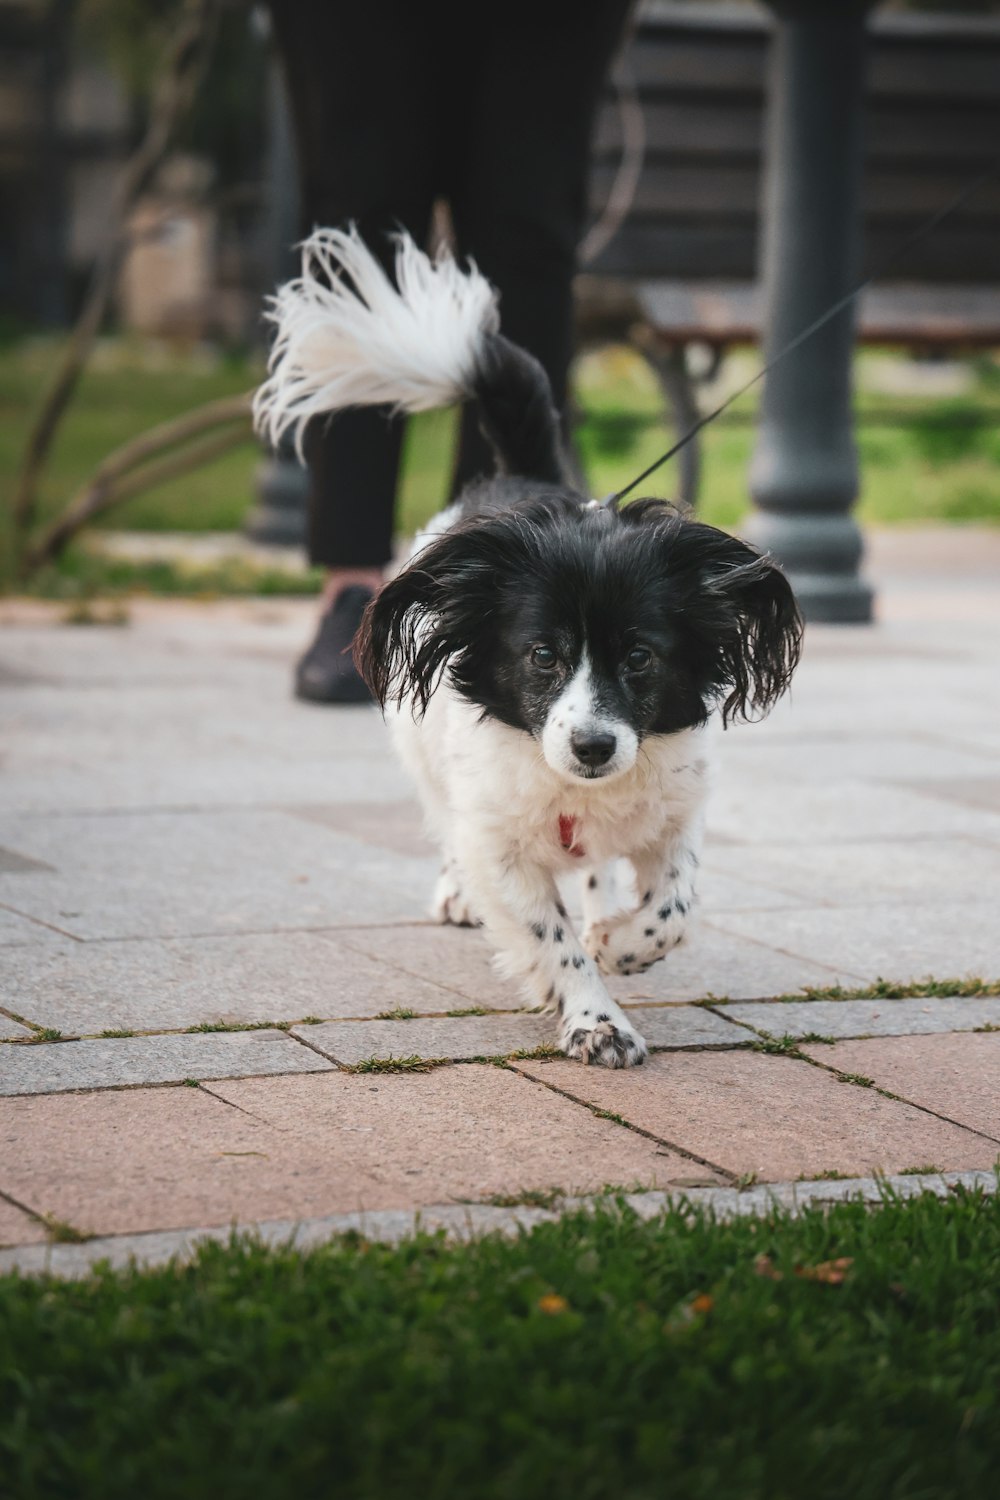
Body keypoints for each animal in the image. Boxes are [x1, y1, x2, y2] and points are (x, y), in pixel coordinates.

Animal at [257, 228, 803, 1068]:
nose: (592, 747)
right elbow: (550, 940)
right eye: (543, 655)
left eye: (640, 657)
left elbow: (673, 907)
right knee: (449, 827)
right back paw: (460, 893)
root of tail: (523, 479)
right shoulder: (501, 846)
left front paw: (620, 942)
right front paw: (595, 1018)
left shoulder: (677, 818)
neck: (579, 794)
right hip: (426, 760)